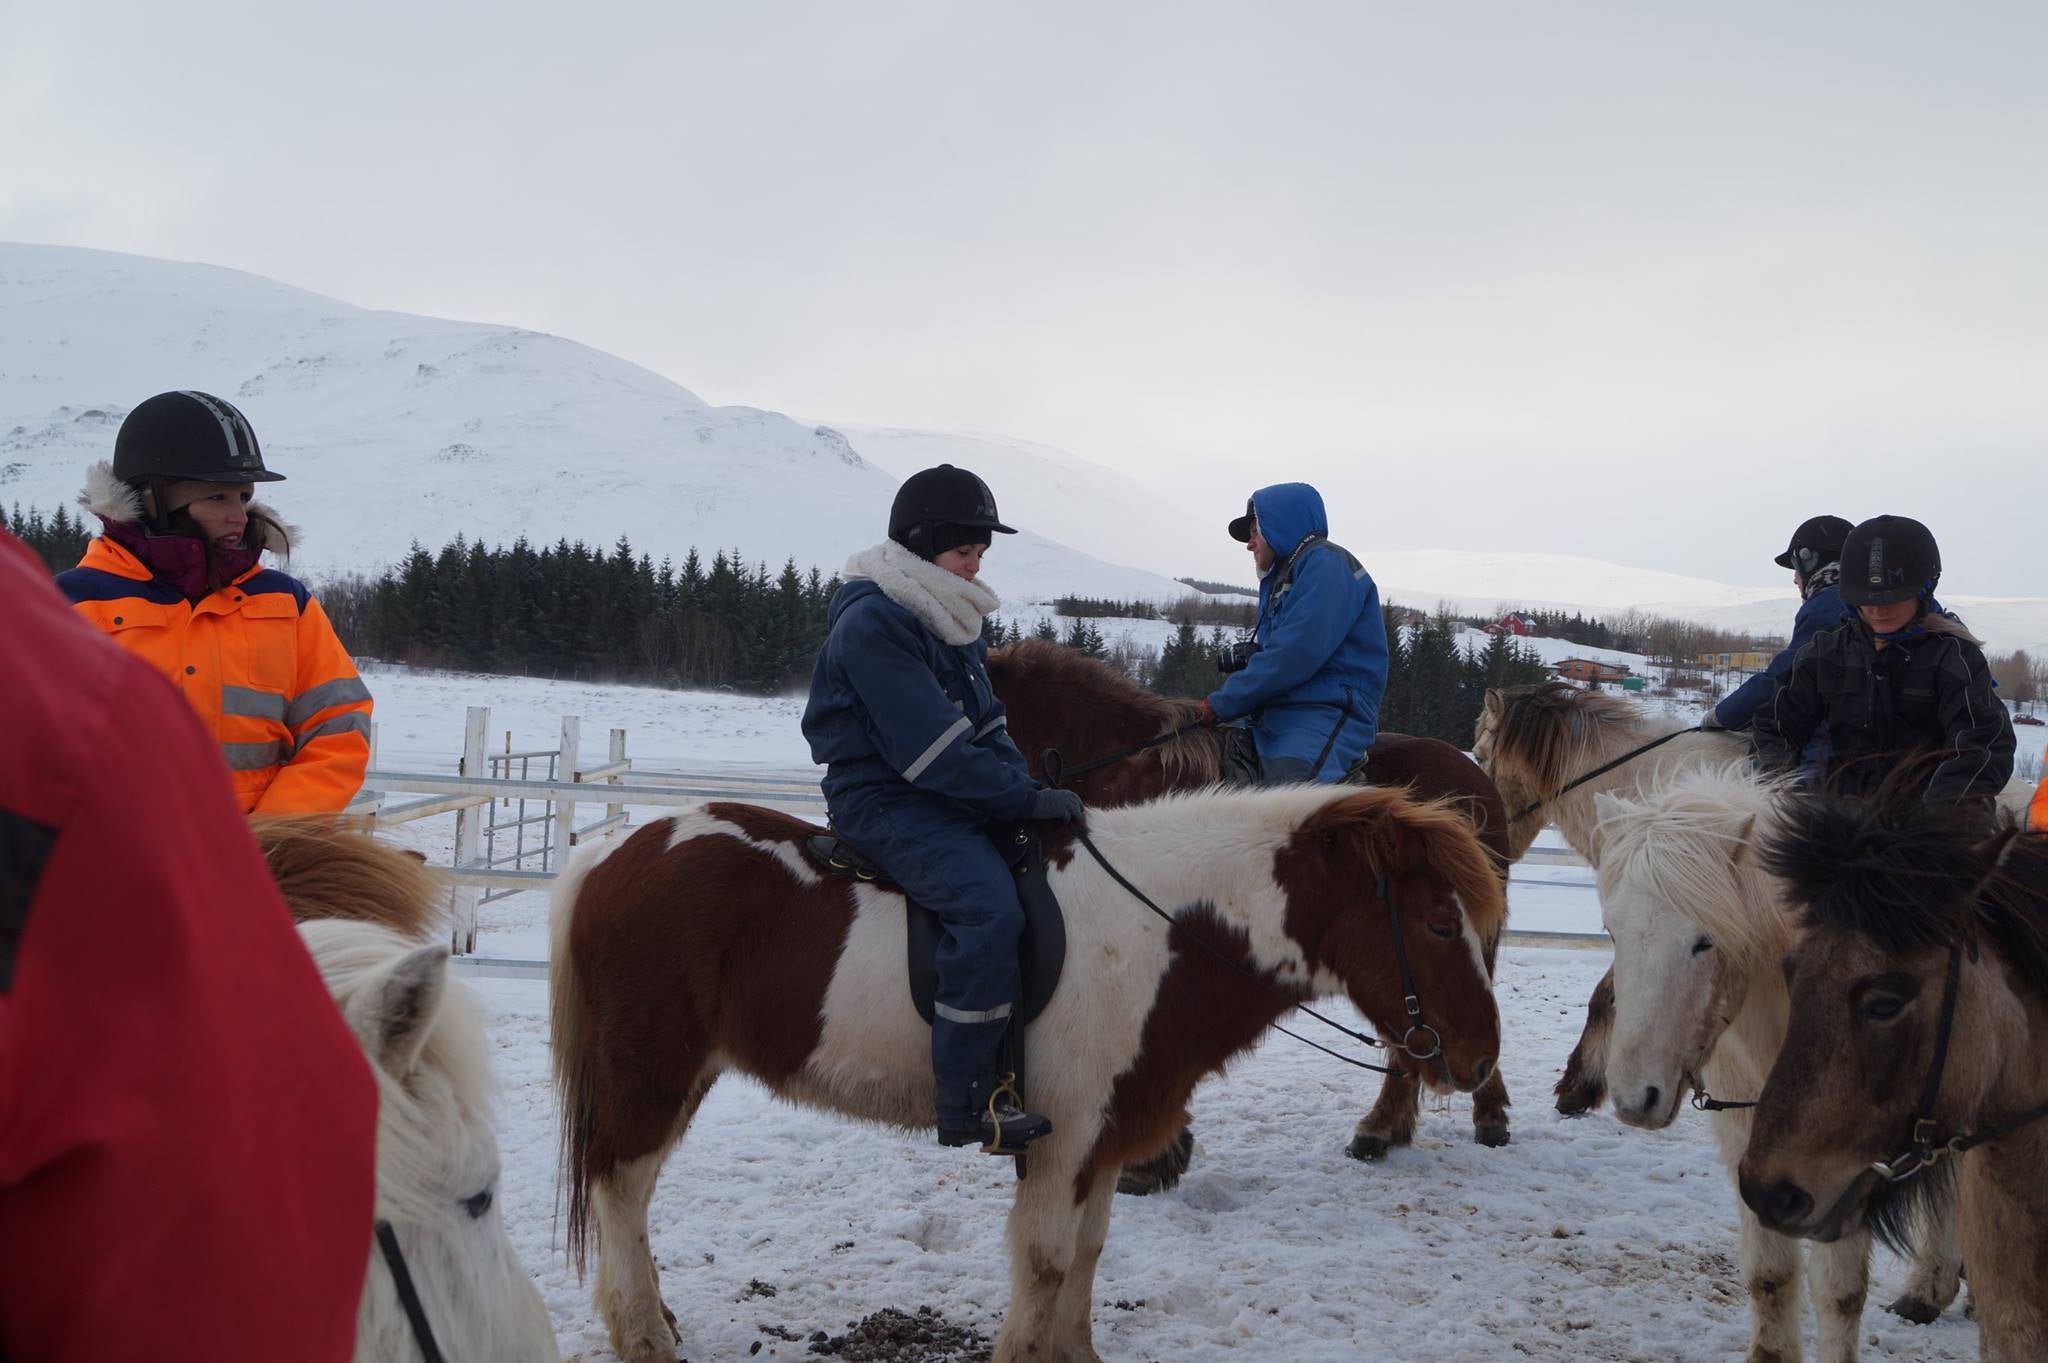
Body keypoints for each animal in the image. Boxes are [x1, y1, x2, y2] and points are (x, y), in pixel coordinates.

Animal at [549, 784, 1506, 1363]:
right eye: (1438, 923)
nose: (1480, 1056)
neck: (1161, 928)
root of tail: (610, 855)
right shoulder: (1062, 1134)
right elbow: (1046, 1259)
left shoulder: (1103, 1137)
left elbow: (1088, 1250)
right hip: (653, 1073)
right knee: (619, 1187)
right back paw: (645, 1333)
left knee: (627, 1192)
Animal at [1592, 766, 1909, 1362]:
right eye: (1612, 931)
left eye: (1704, 942)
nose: (1634, 1098)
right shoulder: (1750, 1144)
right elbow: (1771, 1275)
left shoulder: (1850, 1165)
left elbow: (1840, 1293)